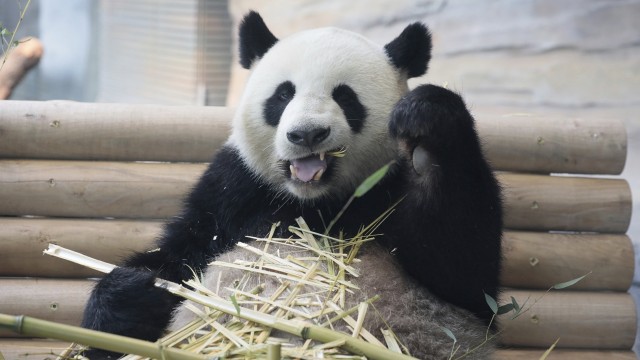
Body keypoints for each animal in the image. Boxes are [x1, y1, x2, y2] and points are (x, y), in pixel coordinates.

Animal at [80, 11, 502, 360]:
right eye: (283, 94)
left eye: (345, 97)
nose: (307, 134)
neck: (310, 202)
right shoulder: (233, 189)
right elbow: (181, 253)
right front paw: (131, 295)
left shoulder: (390, 190)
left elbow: (465, 276)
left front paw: (427, 125)